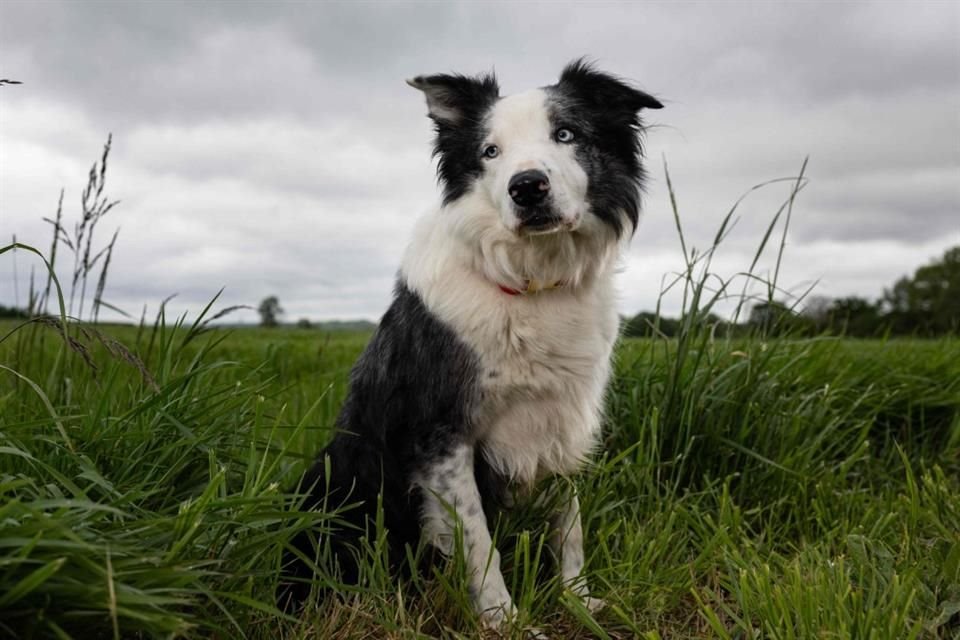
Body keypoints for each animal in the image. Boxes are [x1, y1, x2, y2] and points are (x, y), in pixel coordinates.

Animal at [280, 58, 660, 632]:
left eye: (566, 134)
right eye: (490, 152)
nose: (528, 187)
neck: (531, 282)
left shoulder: (562, 422)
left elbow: (569, 524)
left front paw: (579, 598)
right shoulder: (441, 435)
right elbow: (479, 543)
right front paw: (506, 621)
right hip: (328, 487)